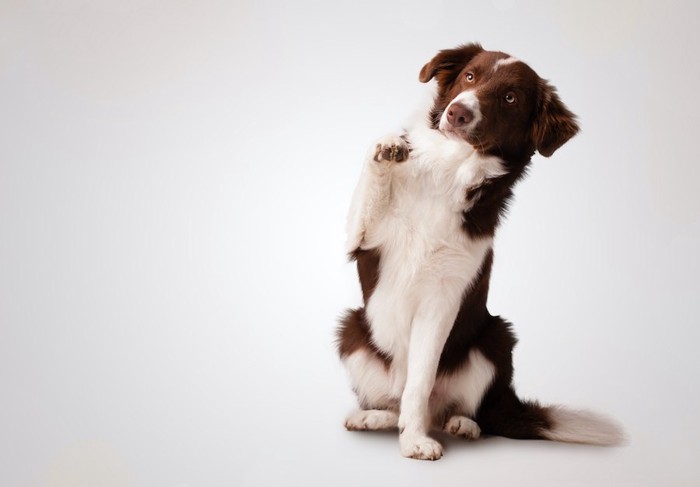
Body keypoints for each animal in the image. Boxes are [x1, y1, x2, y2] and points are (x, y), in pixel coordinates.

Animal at [334, 43, 624, 462]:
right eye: (470, 76)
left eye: (510, 97)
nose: (458, 112)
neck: (448, 170)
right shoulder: (362, 240)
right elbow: (370, 187)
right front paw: (387, 146)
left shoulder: (442, 298)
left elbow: (420, 382)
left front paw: (415, 441)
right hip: (352, 329)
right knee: (393, 402)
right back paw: (371, 416)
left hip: (497, 337)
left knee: (457, 411)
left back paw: (461, 424)